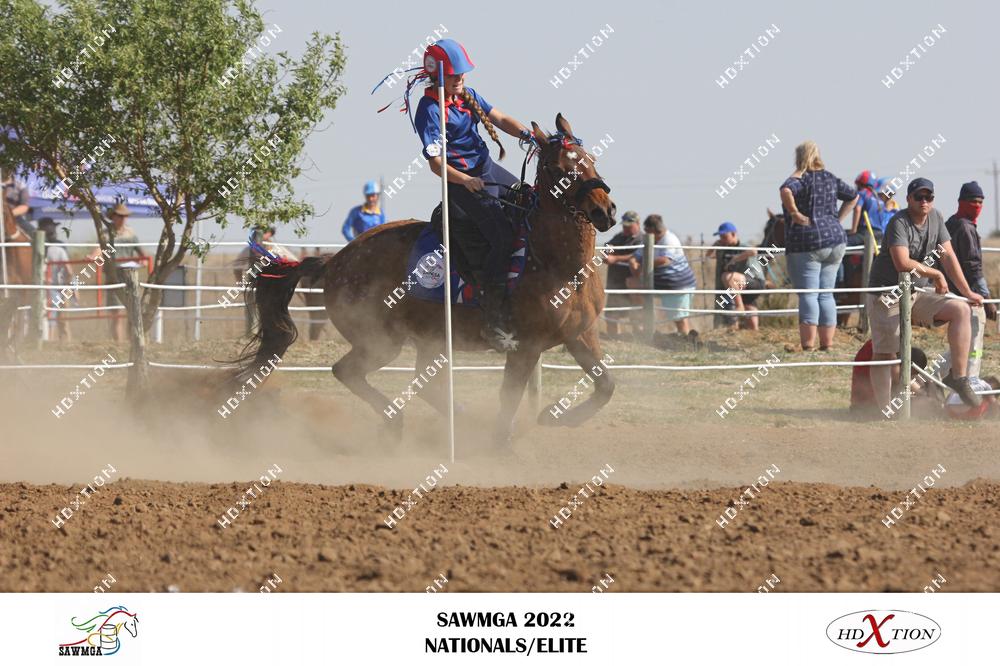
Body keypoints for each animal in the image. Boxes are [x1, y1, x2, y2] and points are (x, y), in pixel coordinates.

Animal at [236, 114, 617, 449]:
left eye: (590, 159)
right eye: (556, 168)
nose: (605, 210)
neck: (555, 262)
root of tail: (335, 262)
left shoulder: (580, 334)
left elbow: (606, 385)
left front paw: (554, 416)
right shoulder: (526, 346)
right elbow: (508, 397)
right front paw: (502, 443)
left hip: (429, 339)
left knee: (423, 385)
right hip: (382, 341)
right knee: (347, 371)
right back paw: (399, 423)